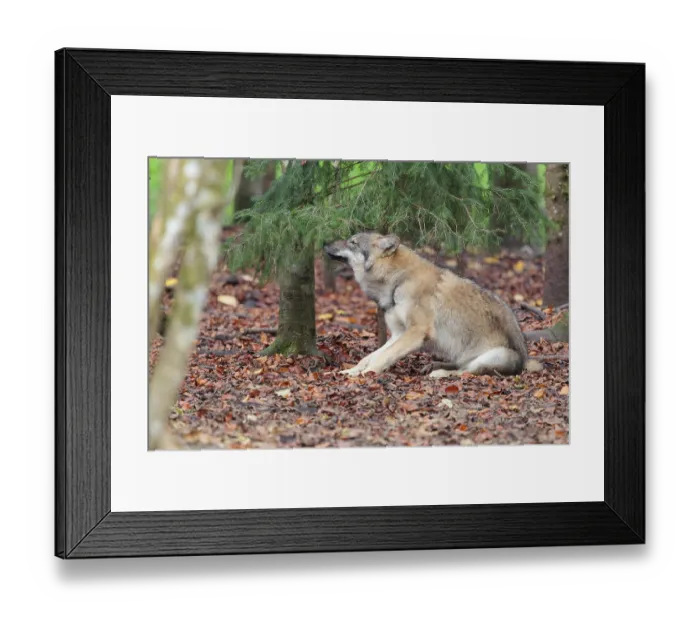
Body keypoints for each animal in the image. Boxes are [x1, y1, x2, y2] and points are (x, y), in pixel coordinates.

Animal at [324, 232, 542, 377]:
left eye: (352, 242)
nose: (325, 243)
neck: (399, 280)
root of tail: (525, 362)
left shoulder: (417, 332)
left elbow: (382, 357)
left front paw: (367, 374)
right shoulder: (398, 333)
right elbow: (370, 356)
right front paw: (351, 371)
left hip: (497, 355)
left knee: (465, 372)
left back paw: (439, 374)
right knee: (461, 367)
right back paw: (434, 366)